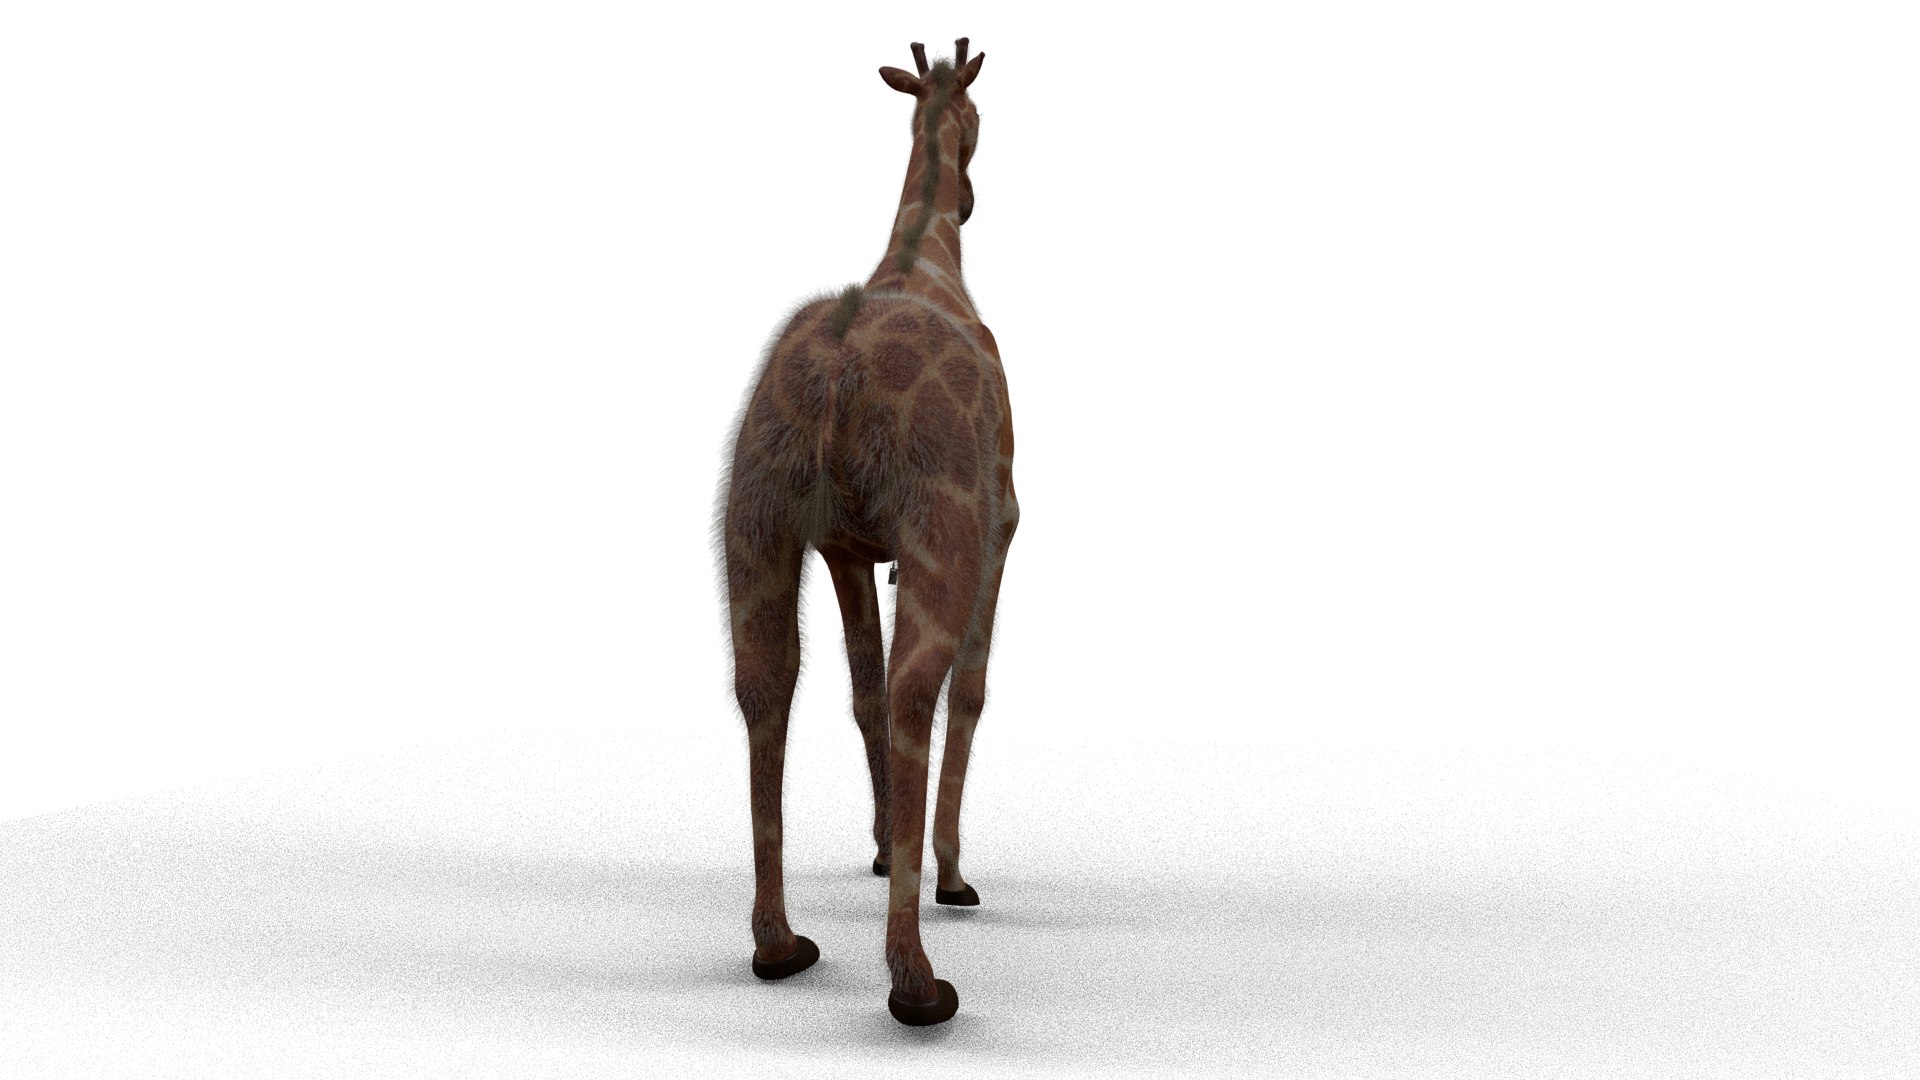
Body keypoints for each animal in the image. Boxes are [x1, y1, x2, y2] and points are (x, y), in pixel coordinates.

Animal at [715, 38, 1014, 1027]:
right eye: (979, 117)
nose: (971, 195)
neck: (927, 256)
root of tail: (840, 374)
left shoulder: (846, 548)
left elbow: (859, 692)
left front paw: (886, 847)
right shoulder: (1003, 519)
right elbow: (967, 689)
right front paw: (949, 871)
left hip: (754, 518)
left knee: (764, 684)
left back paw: (778, 945)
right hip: (940, 527)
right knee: (923, 687)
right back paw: (916, 981)